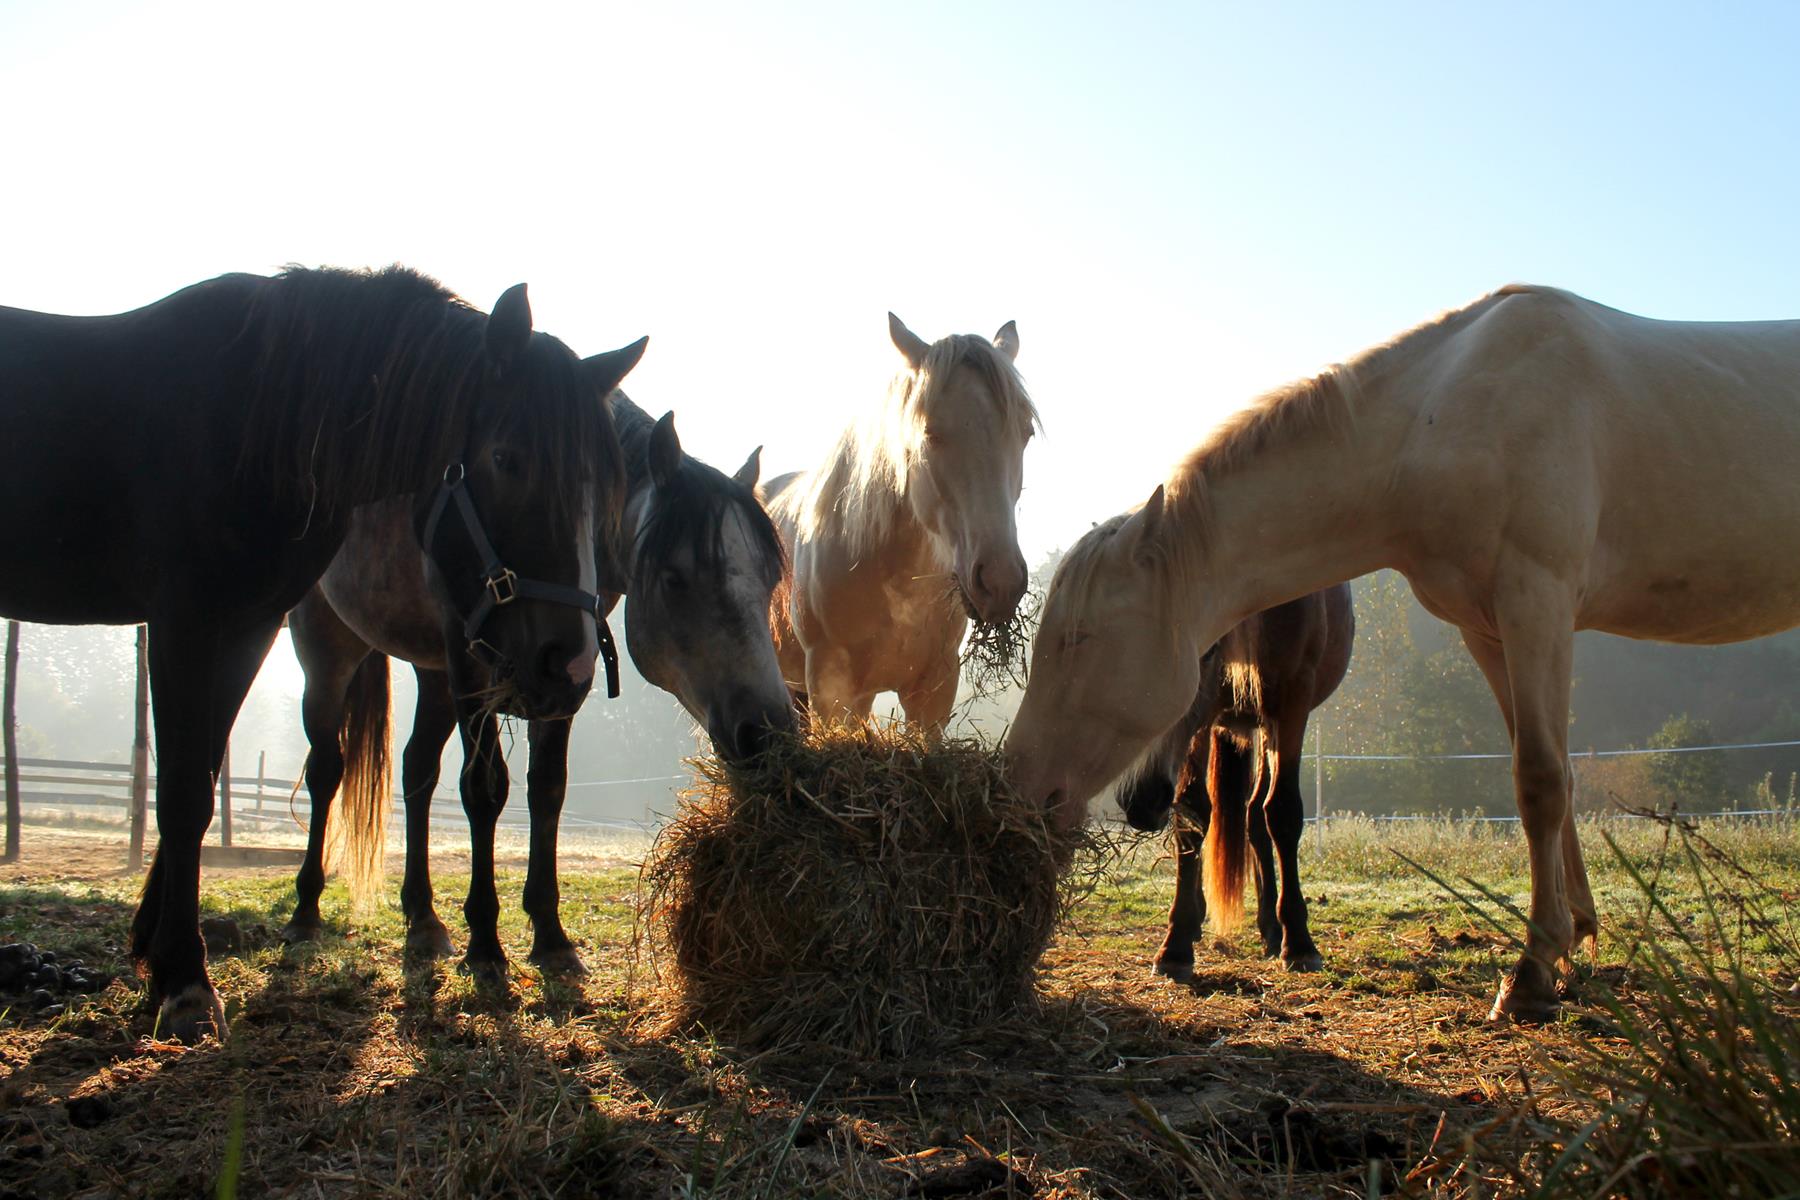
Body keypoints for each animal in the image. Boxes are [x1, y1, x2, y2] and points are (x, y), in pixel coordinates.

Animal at [0, 268, 637, 1036]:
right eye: (506, 459)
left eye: (607, 488)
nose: (568, 663)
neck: (255, 417)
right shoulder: (188, 622)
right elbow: (184, 789)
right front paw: (184, 978)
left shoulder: (242, 628)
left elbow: (202, 775)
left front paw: (157, 949)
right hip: (330, 654)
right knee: (330, 768)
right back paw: (309, 911)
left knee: (409, 772)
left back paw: (418, 919)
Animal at [280, 392, 788, 978]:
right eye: (674, 579)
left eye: (770, 579)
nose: (766, 732)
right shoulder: (472, 666)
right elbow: (484, 789)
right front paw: (485, 941)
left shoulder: (565, 673)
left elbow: (547, 788)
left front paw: (550, 936)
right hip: (328, 653)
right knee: (326, 770)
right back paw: (306, 909)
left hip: (434, 675)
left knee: (417, 771)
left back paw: (424, 919)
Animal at [1108, 586, 1353, 978]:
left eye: (1205, 651)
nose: (1140, 799)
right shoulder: (1203, 720)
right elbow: (1191, 813)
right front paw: (1175, 944)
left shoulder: (1292, 702)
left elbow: (1282, 813)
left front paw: (1299, 942)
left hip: (1264, 724)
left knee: (1257, 816)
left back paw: (1272, 926)